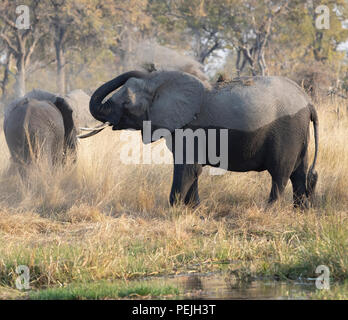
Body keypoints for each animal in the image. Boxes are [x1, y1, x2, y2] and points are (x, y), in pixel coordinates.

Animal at [84, 70, 318, 210]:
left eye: (126, 102)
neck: (163, 83)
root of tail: (308, 102)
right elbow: (192, 170)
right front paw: (194, 209)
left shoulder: (190, 129)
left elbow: (187, 168)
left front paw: (176, 209)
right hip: (299, 133)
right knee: (299, 173)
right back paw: (301, 211)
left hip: (287, 130)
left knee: (280, 173)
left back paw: (268, 210)